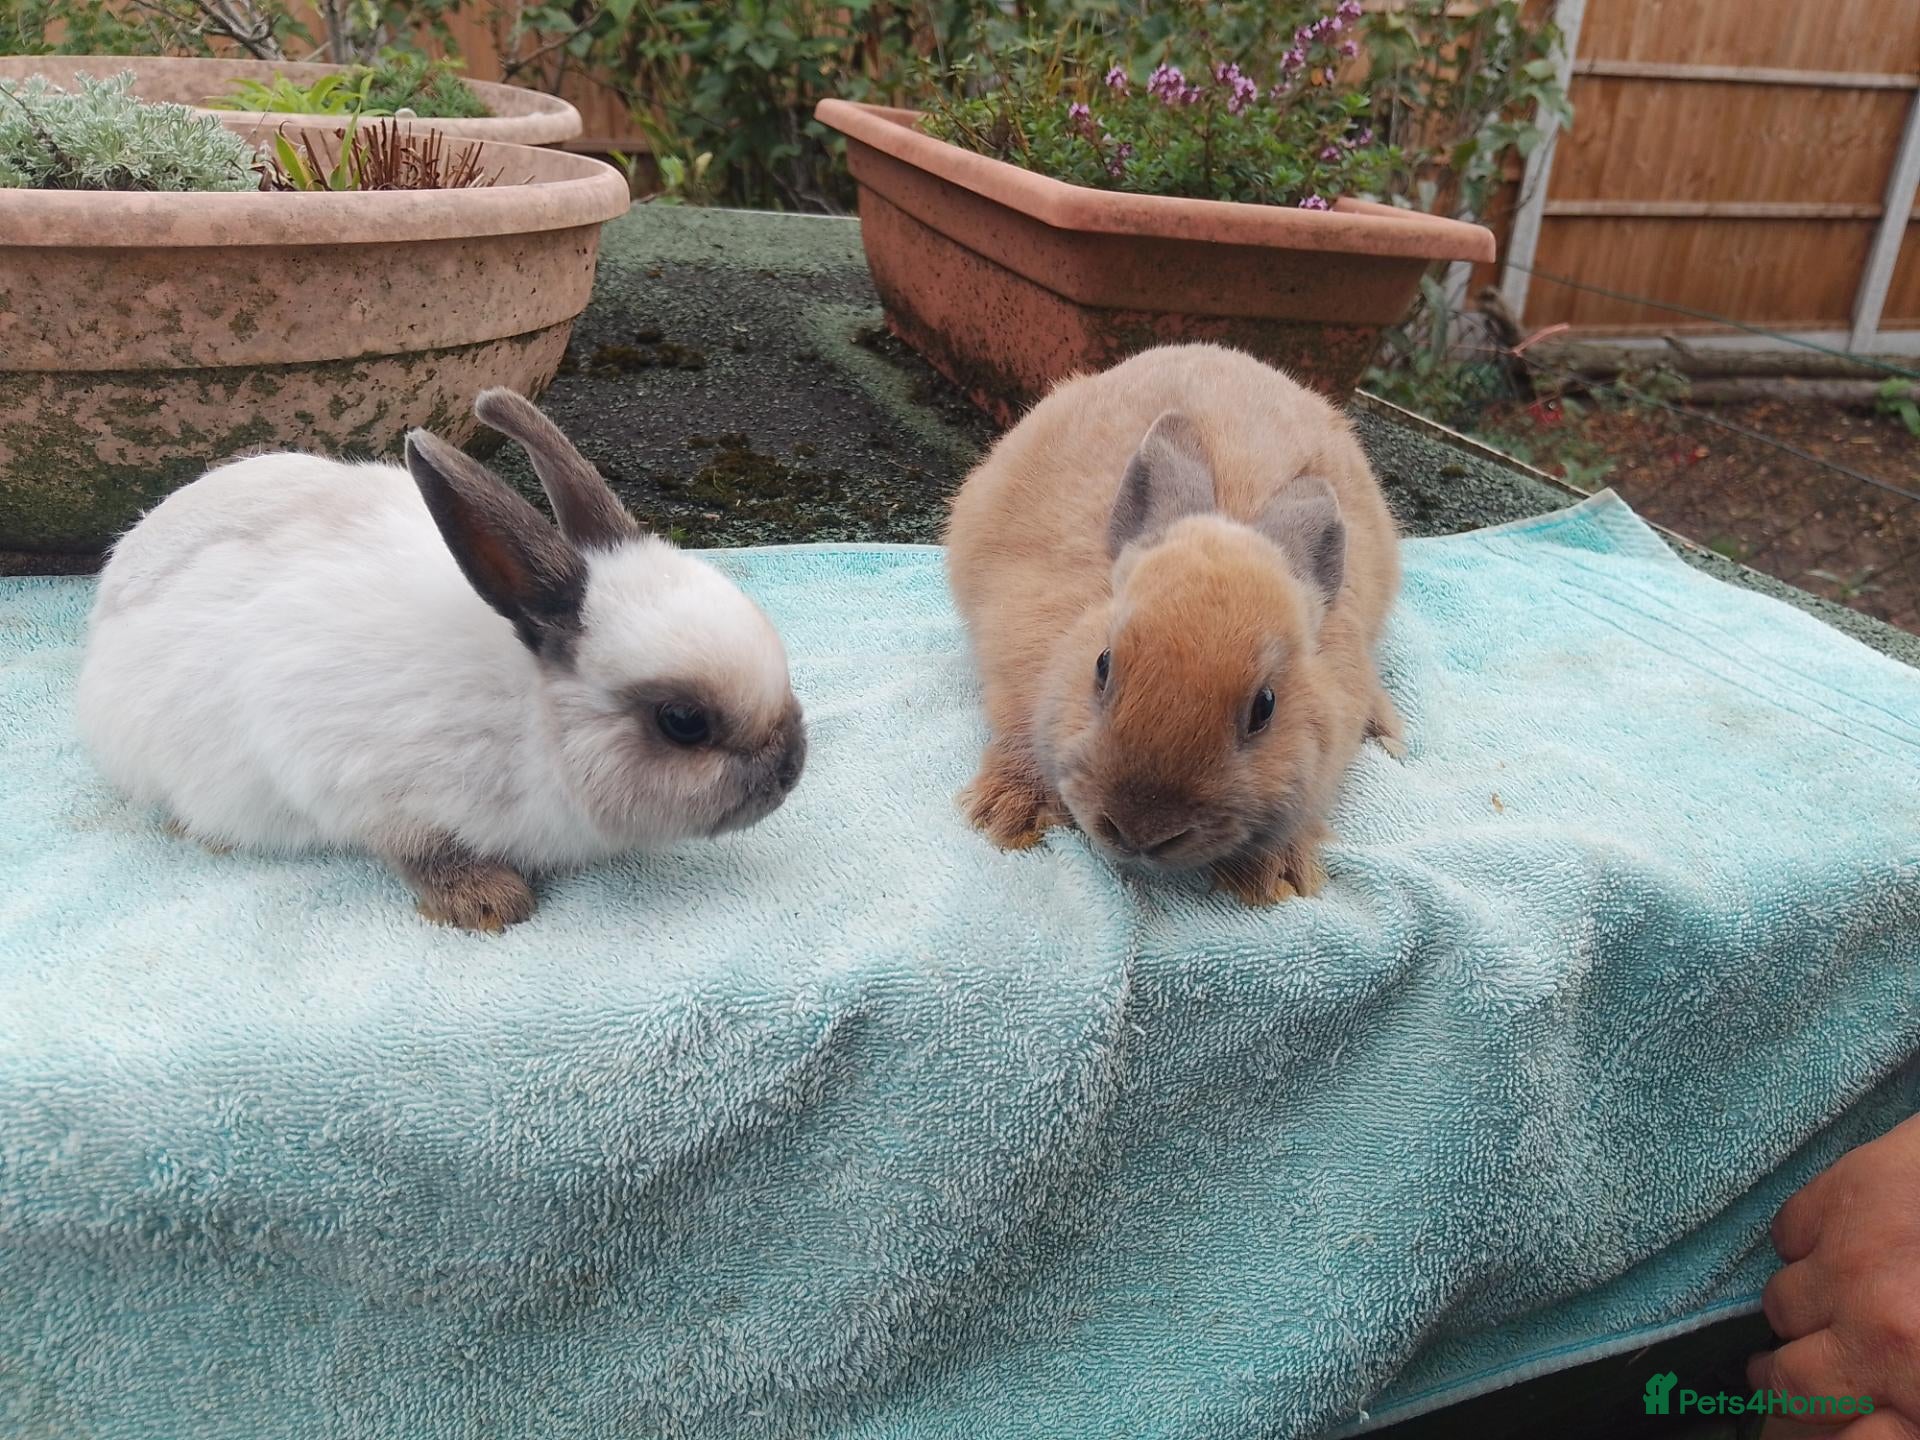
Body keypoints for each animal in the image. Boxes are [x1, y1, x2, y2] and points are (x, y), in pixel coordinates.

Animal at [76, 389, 806, 932]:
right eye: (683, 721)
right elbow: (416, 849)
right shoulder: (358, 777)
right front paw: (487, 902)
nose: (791, 771)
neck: (534, 722)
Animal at [944, 343, 1402, 906]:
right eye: (1103, 665)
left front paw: (1274, 876)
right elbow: (1019, 735)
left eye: (1265, 707)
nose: (1140, 830)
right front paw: (1007, 816)